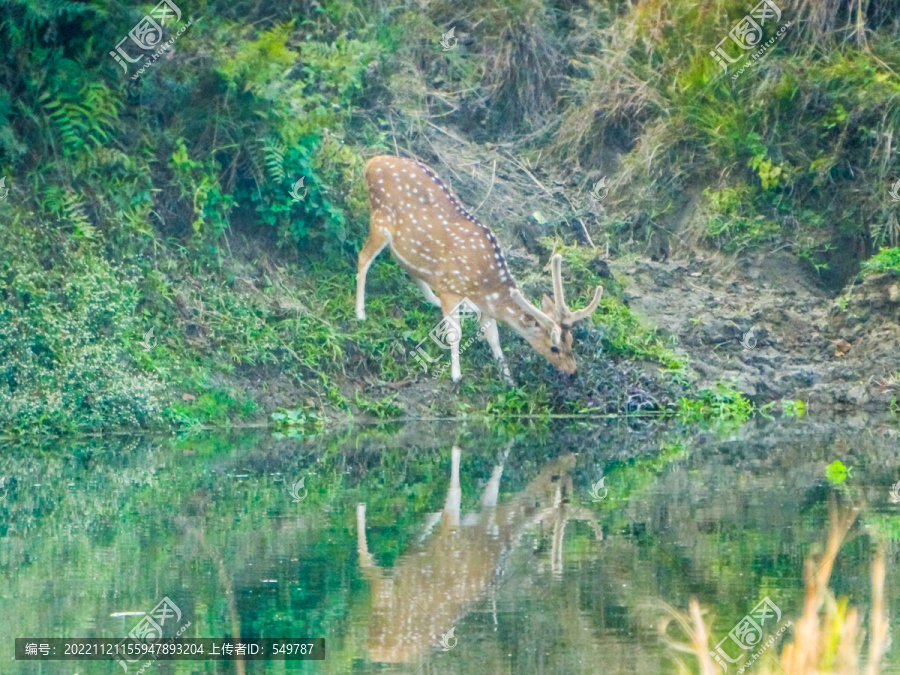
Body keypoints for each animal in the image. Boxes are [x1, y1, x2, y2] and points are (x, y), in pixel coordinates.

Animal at [356, 446, 600, 664]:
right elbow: (458, 488)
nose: (571, 455)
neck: (496, 533)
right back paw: (362, 506)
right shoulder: (454, 533)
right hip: (386, 594)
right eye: (554, 476)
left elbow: (491, 481)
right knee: (366, 561)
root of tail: (373, 648)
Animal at [358, 155, 604, 382]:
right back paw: (360, 313)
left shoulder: (484, 307)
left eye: (571, 341)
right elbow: (454, 333)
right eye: (554, 347)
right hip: (380, 220)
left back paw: (431, 299)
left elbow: (494, 338)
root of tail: (371, 162)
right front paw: (456, 375)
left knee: (403, 262)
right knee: (363, 259)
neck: (486, 287)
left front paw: (508, 378)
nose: (573, 371)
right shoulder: (450, 288)